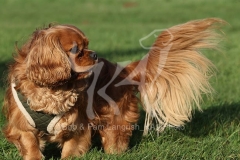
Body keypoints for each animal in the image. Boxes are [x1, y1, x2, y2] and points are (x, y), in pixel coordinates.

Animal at [2, 18, 223, 159]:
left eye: (87, 45)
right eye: (75, 49)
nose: (94, 54)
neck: (54, 89)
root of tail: (123, 70)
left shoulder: (77, 126)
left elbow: (70, 150)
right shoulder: (22, 126)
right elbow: (31, 147)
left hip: (115, 119)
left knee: (115, 139)